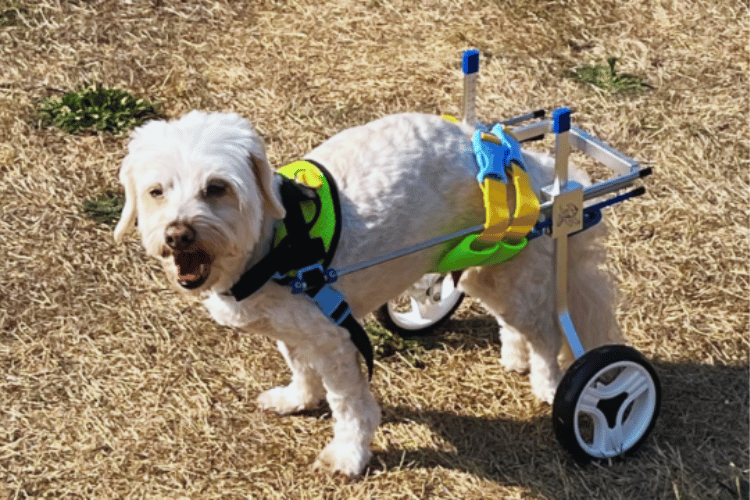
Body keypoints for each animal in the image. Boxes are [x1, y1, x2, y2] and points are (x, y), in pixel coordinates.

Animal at [114, 111, 624, 478]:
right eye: (156, 191)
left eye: (216, 188)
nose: (178, 234)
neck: (273, 242)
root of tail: (527, 161)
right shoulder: (294, 332)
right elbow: (301, 369)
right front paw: (299, 399)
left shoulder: (334, 340)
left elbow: (349, 405)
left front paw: (348, 455)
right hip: (486, 267)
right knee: (513, 319)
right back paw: (514, 355)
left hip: (512, 277)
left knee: (546, 334)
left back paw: (549, 383)